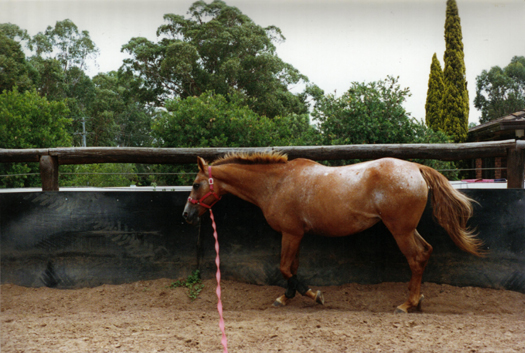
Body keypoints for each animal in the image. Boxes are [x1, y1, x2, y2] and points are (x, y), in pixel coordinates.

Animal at [181, 151, 484, 310]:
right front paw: (287, 296)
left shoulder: (291, 233)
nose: (186, 215)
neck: (277, 183)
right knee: (426, 251)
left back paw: (407, 303)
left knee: (417, 257)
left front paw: (314, 295)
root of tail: (417, 168)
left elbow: (285, 268)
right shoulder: (298, 234)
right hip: (407, 228)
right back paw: (416, 298)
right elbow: (292, 268)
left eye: (195, 184)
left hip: (400, 229)